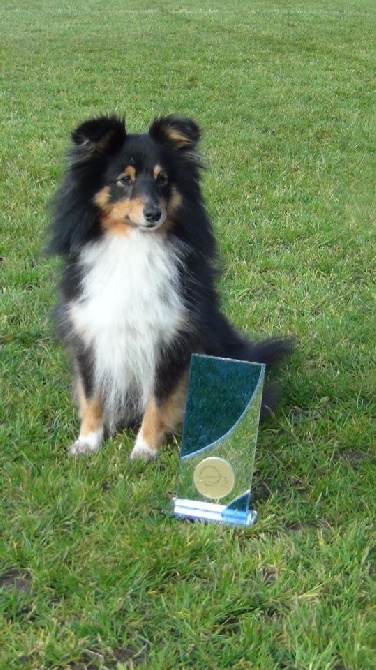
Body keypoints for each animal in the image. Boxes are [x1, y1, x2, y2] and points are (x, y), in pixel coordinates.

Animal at [47, 115, 294, 462]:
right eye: (124, 179)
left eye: (162, 179)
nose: (154, 214)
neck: (133, 244)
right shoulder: (91, 331)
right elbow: (92, 394)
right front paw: (87, 442)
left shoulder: (170, 340)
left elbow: (158, 399)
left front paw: (145, 450)